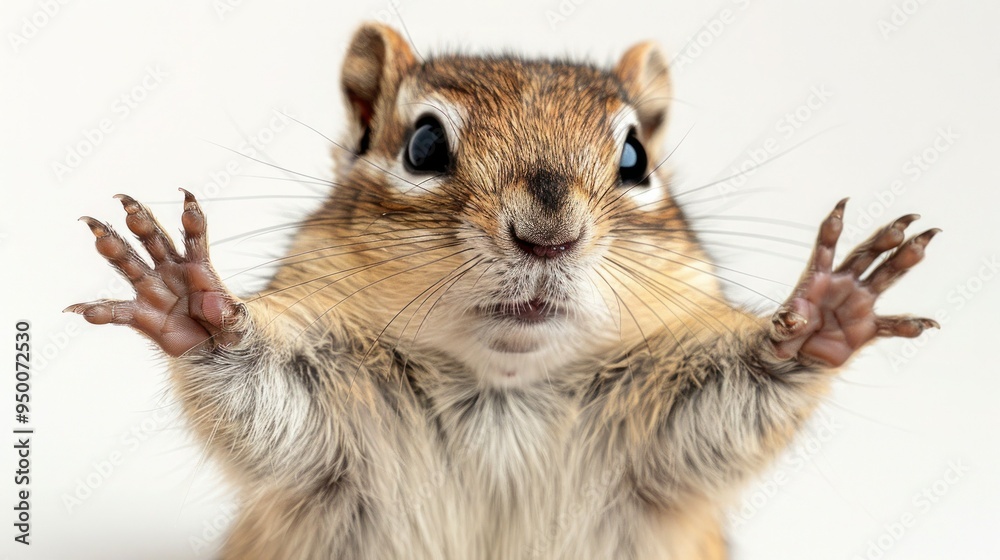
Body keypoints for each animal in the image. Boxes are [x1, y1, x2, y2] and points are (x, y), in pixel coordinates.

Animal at [67, 23, 940, 560]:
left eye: (635, 157)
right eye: (422, 145)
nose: (548, 236)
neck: (504, 386)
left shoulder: (661, 440)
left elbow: (727, 409)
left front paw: (820, 317)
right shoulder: (328, 430)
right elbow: (267, 402)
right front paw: (194, 305)